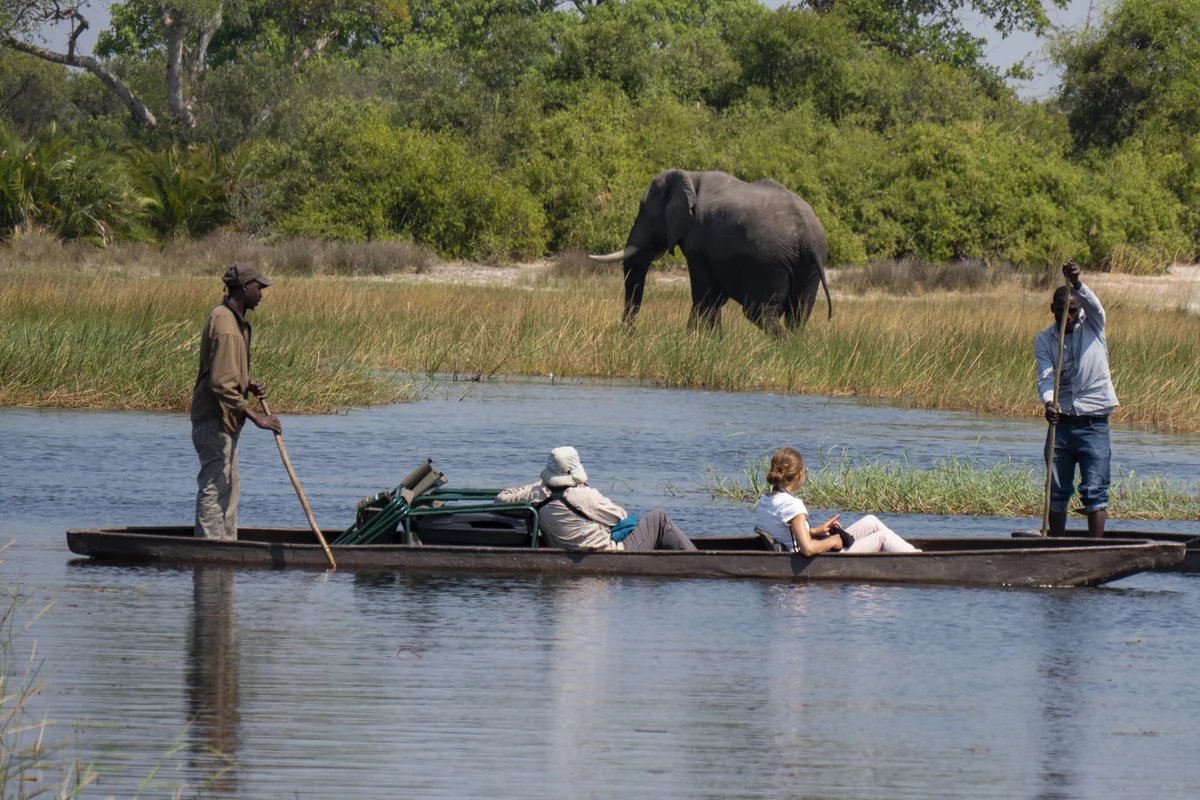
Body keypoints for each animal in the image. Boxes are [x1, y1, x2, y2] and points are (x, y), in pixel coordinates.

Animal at [589, 169, 832, 336]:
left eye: (644, 211)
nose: (627, 334)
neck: (690, 176)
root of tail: (807, 234)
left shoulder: (699, 244)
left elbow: (704, 296)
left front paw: (691, 340)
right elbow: (715, 298)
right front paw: (713, 342)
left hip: (770, 261)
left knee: (761, 313)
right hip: (810, 264)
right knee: (798, 313)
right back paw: (792, 348)